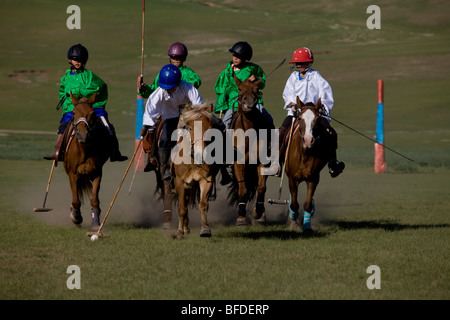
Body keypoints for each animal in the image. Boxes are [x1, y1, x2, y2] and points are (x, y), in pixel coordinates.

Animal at [63, 92, 110, 230]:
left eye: (93, 113)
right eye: (74, 113)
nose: (83, 135)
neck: (84, 150)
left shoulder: (97, 172)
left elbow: (94, 199)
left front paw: (96, 223)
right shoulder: (73, 174)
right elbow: (76, 200)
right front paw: (76, 218)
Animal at [171, 104, 219, 239]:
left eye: (209, 128)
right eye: (190, 128)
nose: (200, 153)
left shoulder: (206, 180)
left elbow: (203, 204)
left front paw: (205, 229)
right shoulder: (180, 182)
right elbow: (182, 208)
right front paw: (179, 232)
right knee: (185, 204)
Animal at [229, 74, 270, 225]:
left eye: (256, 89)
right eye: (240, 88)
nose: (249, 103)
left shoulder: (262, 163)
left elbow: (261, 188)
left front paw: (259, 212)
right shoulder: (239, 163)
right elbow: (243, 189)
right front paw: (241, 215)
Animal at [284, 96, 330, 234]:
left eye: (318, 119)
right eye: (300, 118)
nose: (309, 140)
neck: (304, 153)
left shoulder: (313, 179)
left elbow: (307, 204)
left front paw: (307, 226)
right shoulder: (292, 179)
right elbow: (294, 204)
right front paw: (294, 222)